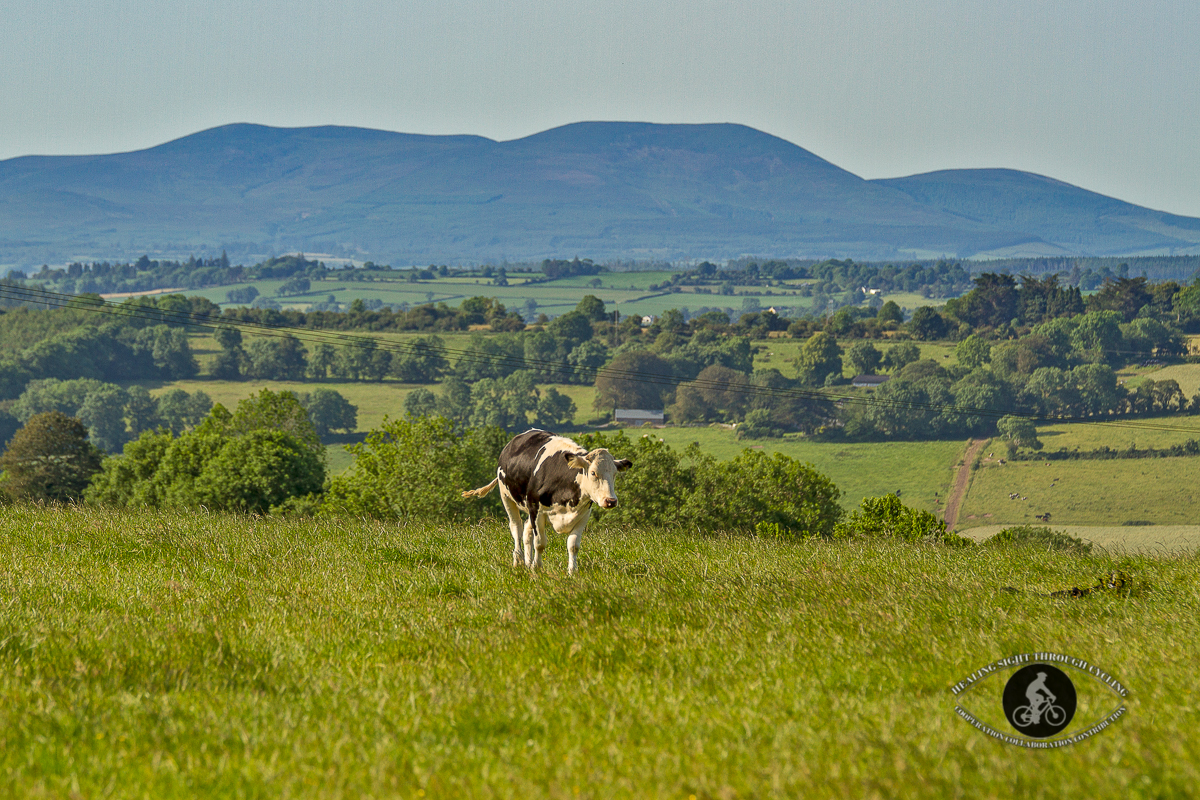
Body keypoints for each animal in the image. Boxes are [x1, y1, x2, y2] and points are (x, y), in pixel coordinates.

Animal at [458, 431, 633, 575]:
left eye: (614, 474)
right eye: (593, 473)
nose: (610, 501)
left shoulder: (583, 514)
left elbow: (573, 545)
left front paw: (572, 571)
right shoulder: (537, 510)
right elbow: (540, 543)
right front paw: (537, 568)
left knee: (526, 531)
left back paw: (527, 562)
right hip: (507, 496)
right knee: (516, 528)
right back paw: (519, 561)